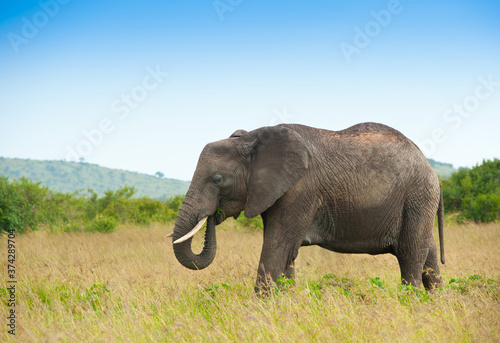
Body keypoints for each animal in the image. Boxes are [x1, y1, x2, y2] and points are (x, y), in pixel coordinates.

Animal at [170, 122, 444, 294]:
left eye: (217, 179)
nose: (213, 216)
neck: (253, 138)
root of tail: (431, 168)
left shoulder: (299, 190)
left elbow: (277, 247)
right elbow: (285, 253)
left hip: (417, 197)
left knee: (409, 256)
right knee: (428, 254)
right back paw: (437, 303)